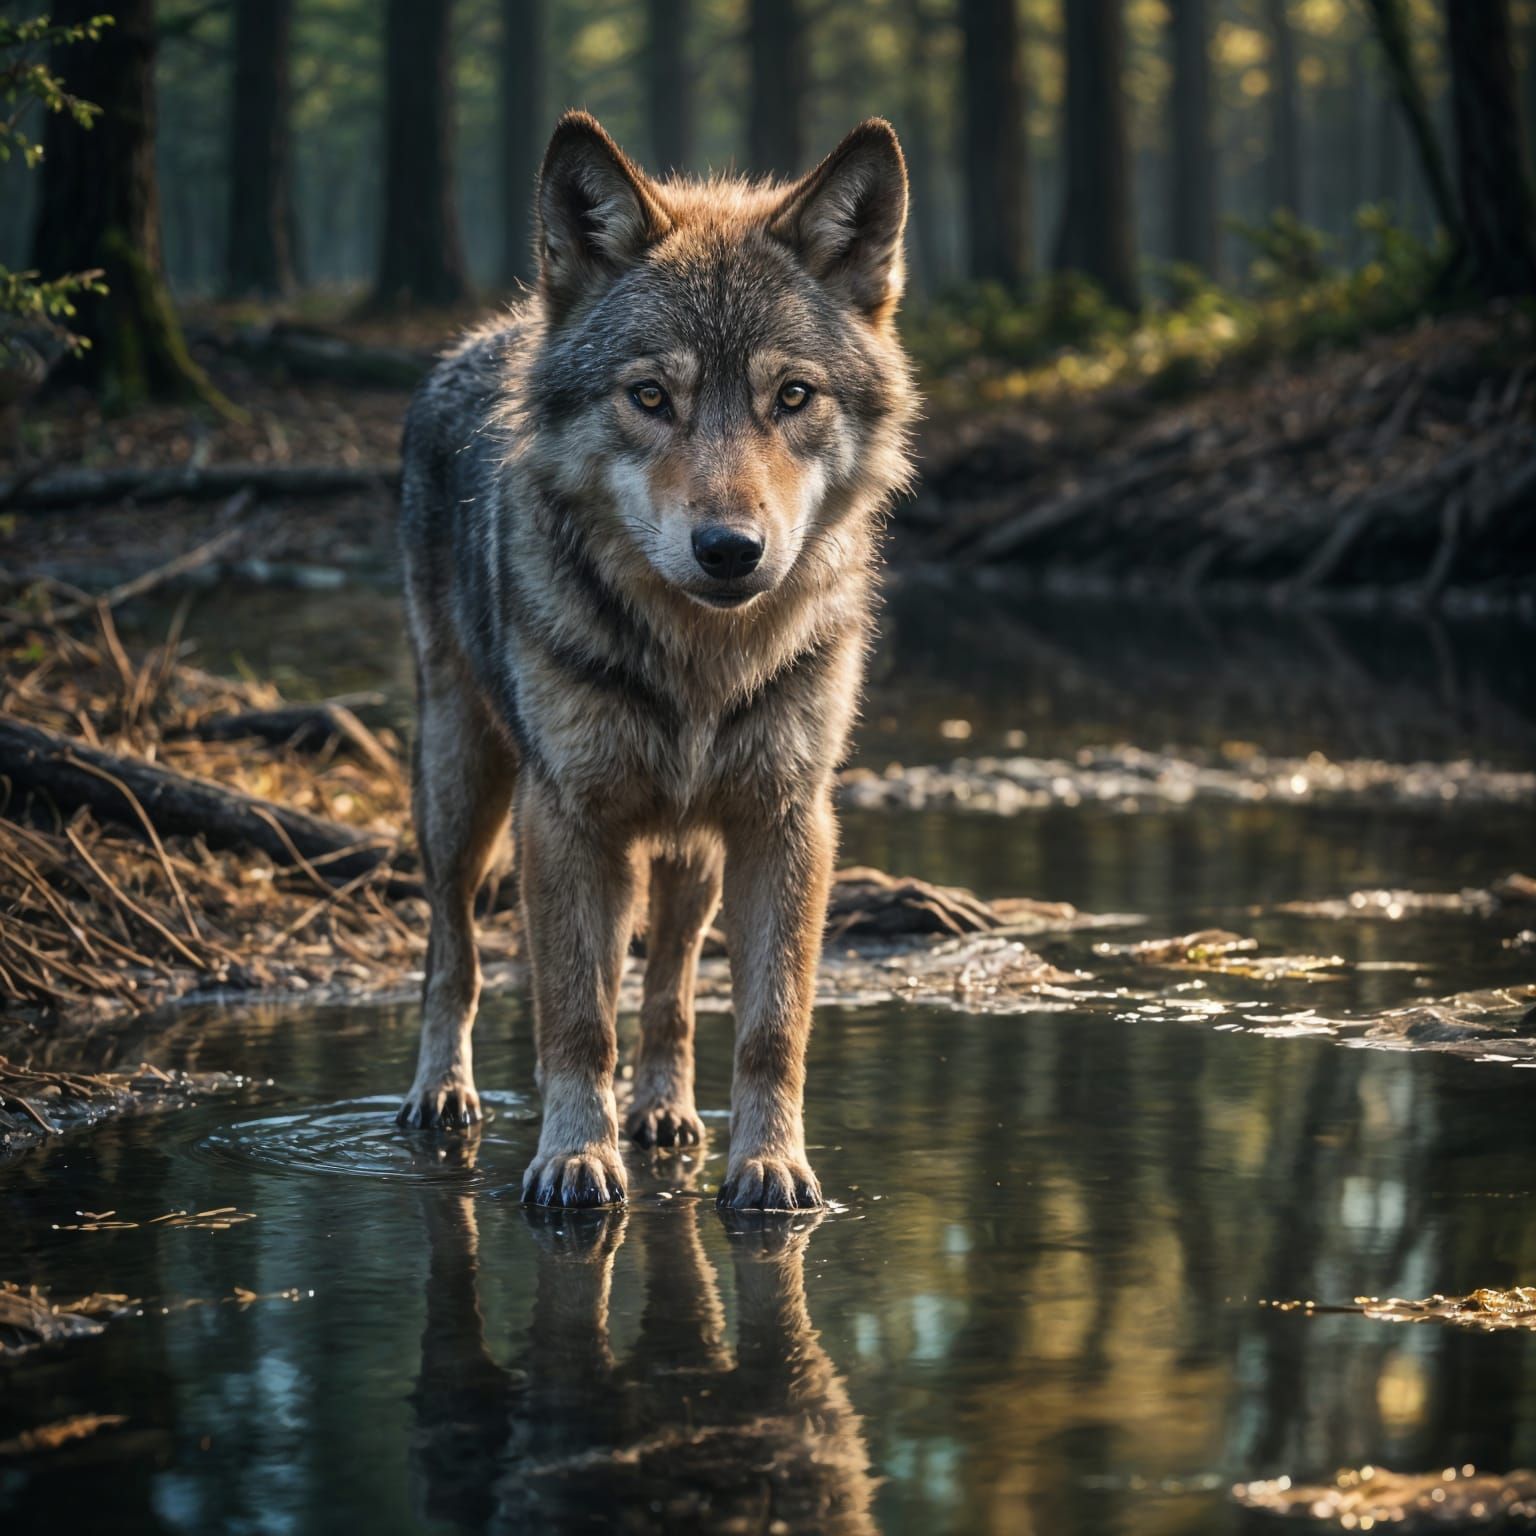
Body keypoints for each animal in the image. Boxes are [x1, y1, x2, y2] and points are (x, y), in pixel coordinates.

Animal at [396, 110, 915, 1210]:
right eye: (650, 396)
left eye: (791, 395)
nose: (729, 549)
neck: (700, 666)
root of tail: (488, 333)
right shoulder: (567, 820)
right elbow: (575, 1016)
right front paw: (573, 1157)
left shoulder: (786, 822)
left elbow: (769, 1027)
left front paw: (770, 1164)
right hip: (462, 787)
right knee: (452, 951)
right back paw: (442, 1093)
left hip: (688, 856)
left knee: (672, 981)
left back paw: (665, 1113)